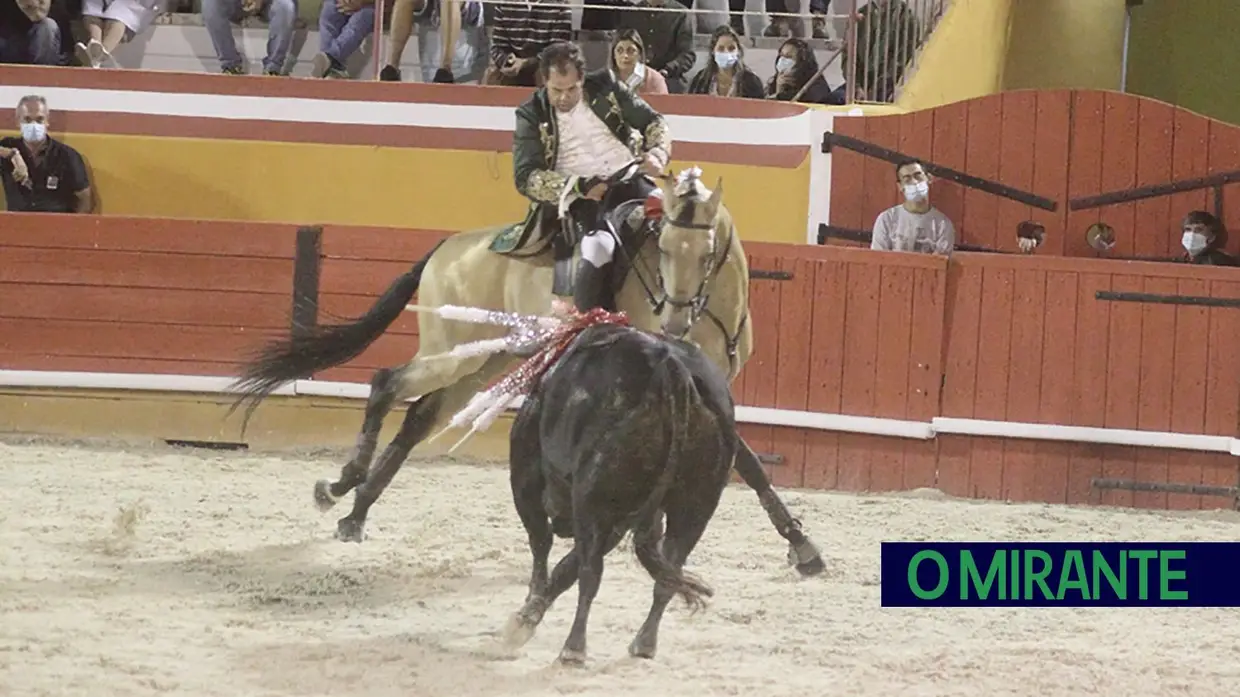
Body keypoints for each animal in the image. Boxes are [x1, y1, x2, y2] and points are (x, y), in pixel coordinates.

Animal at [229, 164, 828, 572]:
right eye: (661, 251)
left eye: (705, 255)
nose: (674, 324)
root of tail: (447, 248)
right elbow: (738, 460)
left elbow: (745, 462)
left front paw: (800, 545)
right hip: (453, 353)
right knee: (385, 383)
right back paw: (343, 485)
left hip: (479, 362)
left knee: (419, 418)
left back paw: (353, 512)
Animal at [503, 322, 734, 659]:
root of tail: (672, 370)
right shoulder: (620, 518)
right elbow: (565, 567)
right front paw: (531, 614)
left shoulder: (527, 476)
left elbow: (543, 544)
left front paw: (526, 614)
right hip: (697, 505)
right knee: (669, 573)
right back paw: (644, 643)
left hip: (595, 497)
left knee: (590, 572)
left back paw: (573, 648)